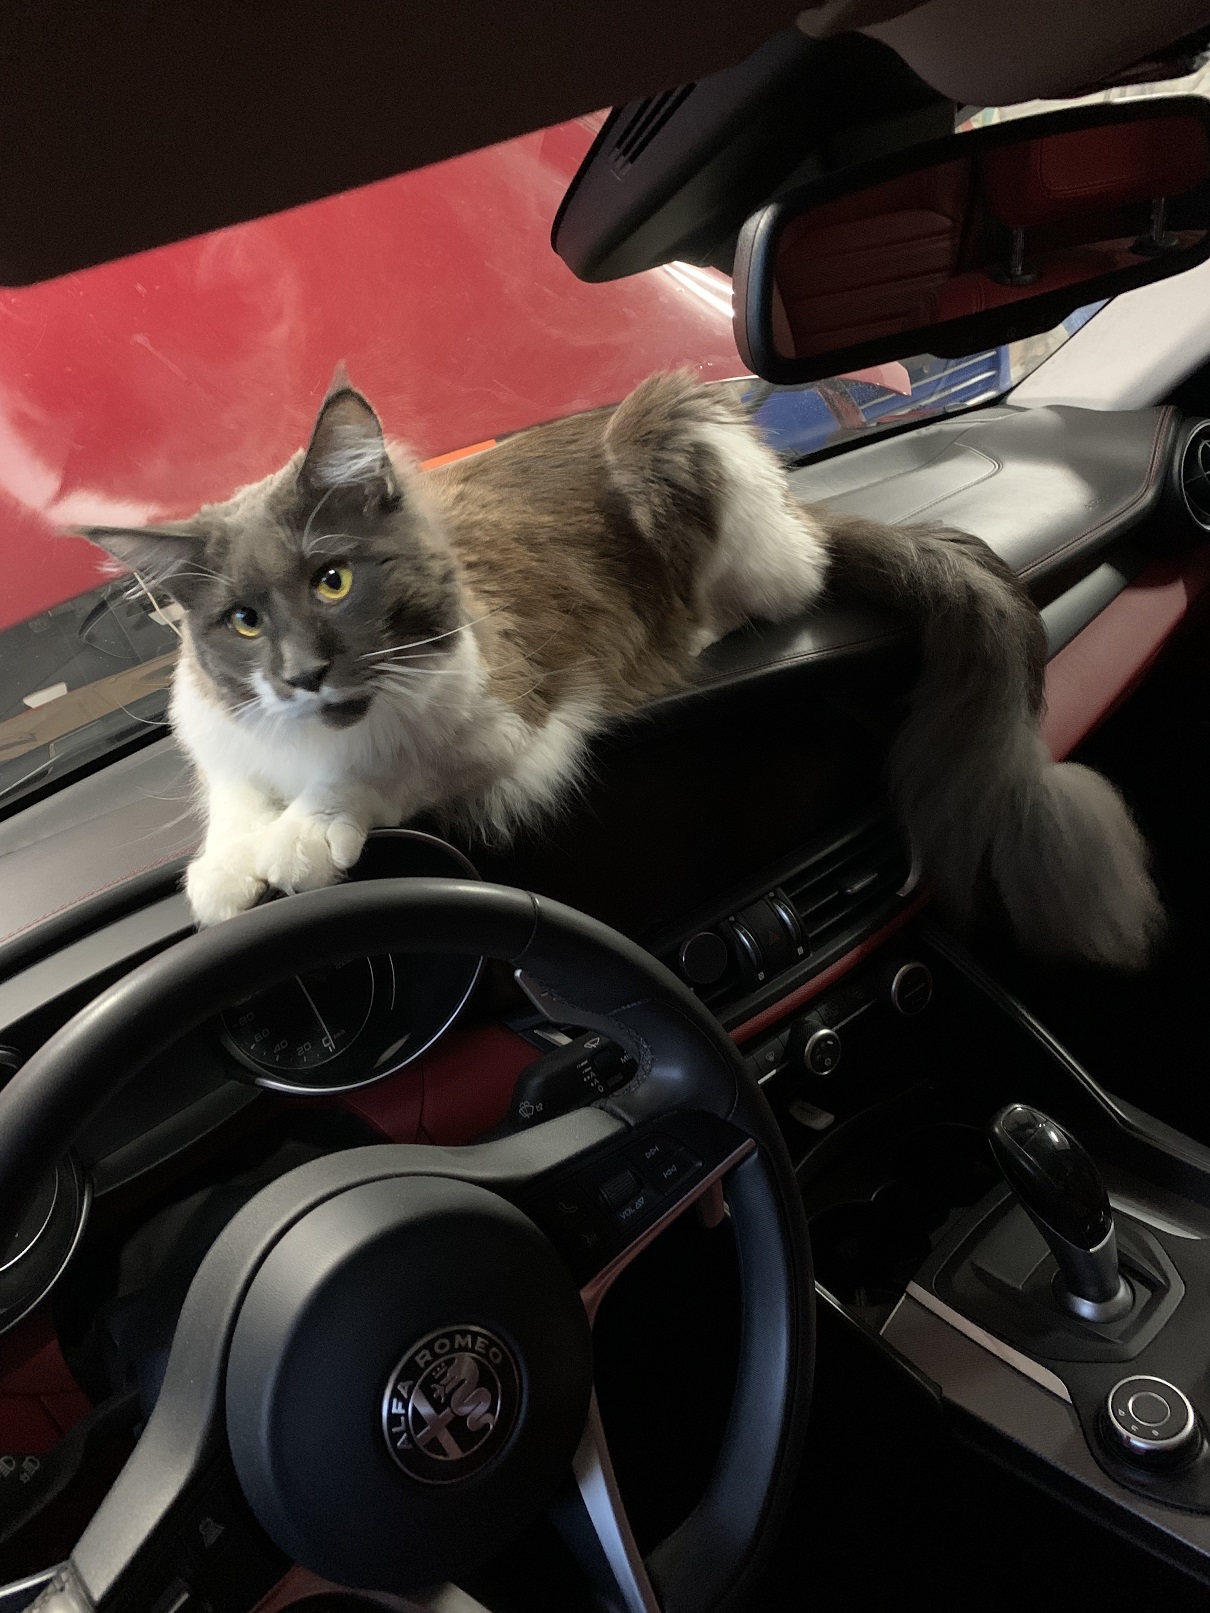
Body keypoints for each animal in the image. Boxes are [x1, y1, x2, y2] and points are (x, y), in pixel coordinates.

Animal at [80, 369, 1164, 969]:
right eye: (244, 623)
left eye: (333, 579)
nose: (304, 673)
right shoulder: (220, 735)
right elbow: (231, 795)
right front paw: (228, 869)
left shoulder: (504, 719)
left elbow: (378, 771)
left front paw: (302, 839)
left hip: (683, 441)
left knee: (786, 582)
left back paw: (702, 632)